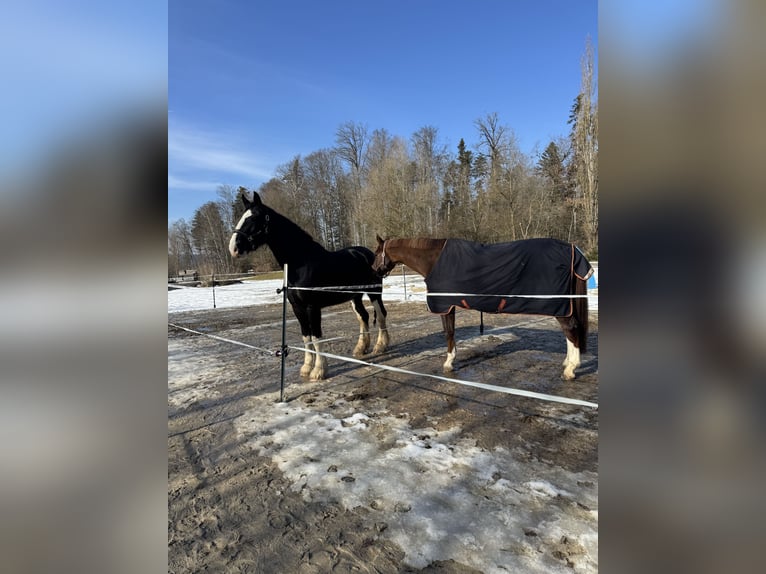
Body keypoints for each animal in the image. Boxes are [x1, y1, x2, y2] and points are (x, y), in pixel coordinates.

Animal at [229, 192, 389, 380]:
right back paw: (360, 348)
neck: (301, 264)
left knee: (381, 315)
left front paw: (319, 370)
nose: (234, 248)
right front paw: (306, 368)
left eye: (254, 218)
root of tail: (367, 253)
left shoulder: (312, 307)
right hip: (354, 296)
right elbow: (306, 337)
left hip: (374, 293)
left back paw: (380, 346)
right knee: (363, 316)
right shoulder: (297, 307)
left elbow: (317, 337)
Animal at [372, 235, 593, 380]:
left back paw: (570, 369)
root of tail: (573, 249)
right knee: (570, 332)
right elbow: (451, 332)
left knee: (571, 328)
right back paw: (567, 363)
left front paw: (448, 363)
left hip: (559, 306)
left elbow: (449, 332)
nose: (373, 270)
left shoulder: (445, 305)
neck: (434, 260)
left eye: (375, 253)